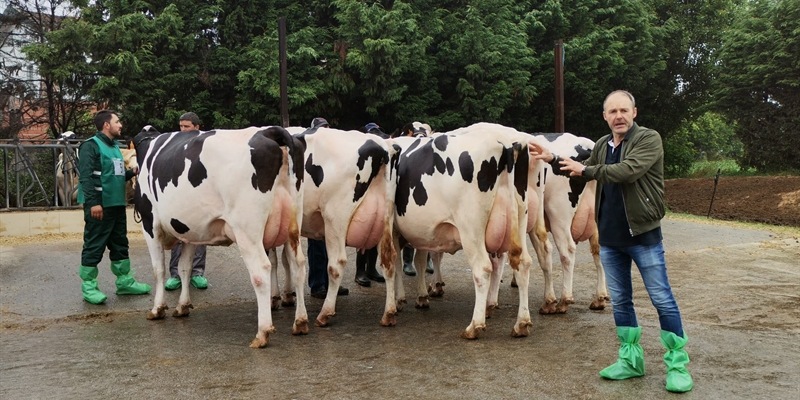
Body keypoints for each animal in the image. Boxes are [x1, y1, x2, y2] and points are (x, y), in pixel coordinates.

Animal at [131, 124, 306, 346]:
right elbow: (185, 268)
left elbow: (158, 269)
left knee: (261, 270)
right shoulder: (190, 230)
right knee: (298, 264)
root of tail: (269, 131)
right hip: (294, 225)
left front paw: (157, 309)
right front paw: (182, 306)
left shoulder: (150, 223)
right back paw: (300, 322)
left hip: (247, 230)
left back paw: (262, 332)